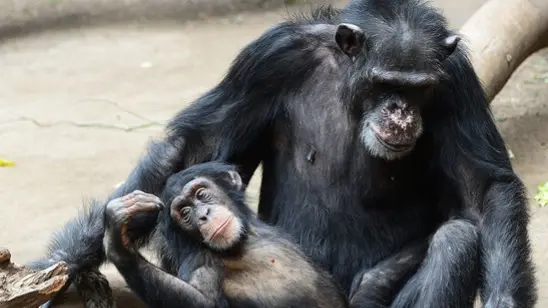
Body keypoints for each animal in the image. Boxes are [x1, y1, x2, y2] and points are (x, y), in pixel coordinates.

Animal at [31, 0, 536, 306]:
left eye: (420, 88)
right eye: (384, 83)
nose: (400, 111)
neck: (350, 87)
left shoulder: (457, 80)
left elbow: (483, 187)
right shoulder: (269, 59)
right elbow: (194, 146)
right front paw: (61, 263)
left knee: (457, 238)